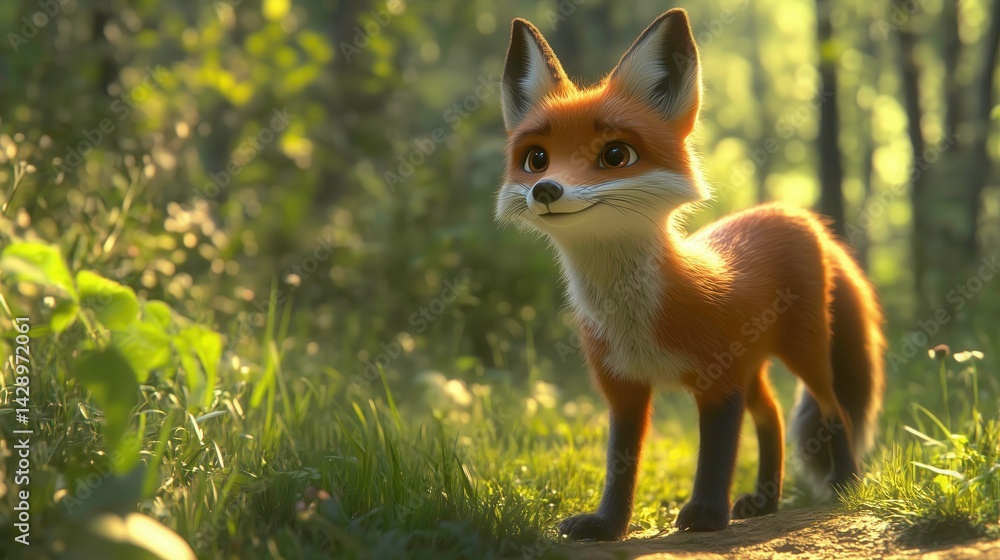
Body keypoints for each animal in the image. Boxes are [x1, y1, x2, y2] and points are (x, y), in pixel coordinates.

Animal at [494, 8, 886, 540]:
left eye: (615, 155)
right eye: (537, 159)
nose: (547, 190)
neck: (635, 316)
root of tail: (795, 212)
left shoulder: (719, 382)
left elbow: (717, 454)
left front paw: (706, 515)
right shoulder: (623, 387)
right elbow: (621, 463)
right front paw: (606, 525)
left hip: (804, 352)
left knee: (832, 410)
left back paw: (844, 486)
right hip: (754, 366)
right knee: (773, 417)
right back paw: (765, 501)